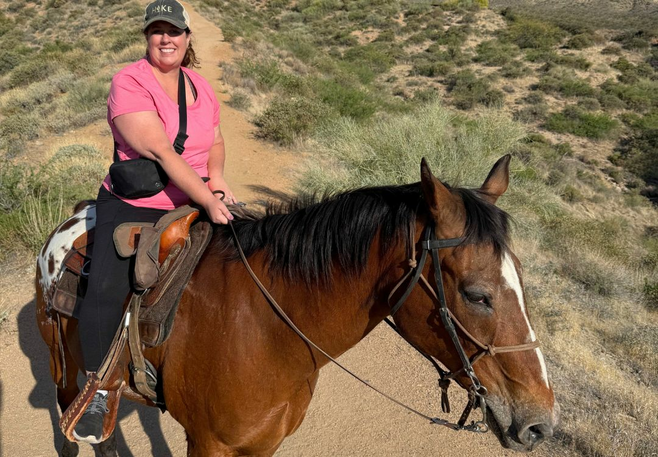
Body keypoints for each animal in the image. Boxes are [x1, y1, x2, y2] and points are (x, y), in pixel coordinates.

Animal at [36, 156, 559, 456]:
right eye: (476, 294)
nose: (540, 424)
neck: (265, 329)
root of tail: (73, 221)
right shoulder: (208, 445)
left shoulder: (262, 444)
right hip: (63, 368)